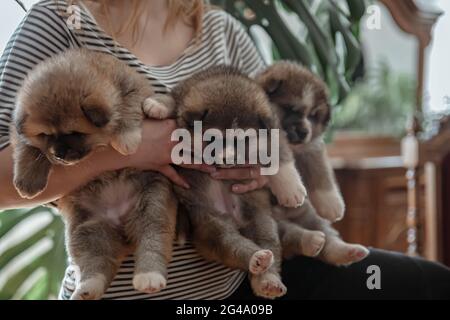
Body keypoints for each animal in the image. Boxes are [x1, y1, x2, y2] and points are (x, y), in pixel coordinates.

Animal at [11, 48, 177, 298]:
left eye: (75, 132)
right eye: (45, 135)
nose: (58, 155)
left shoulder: (131, 87)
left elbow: (127, 108)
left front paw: (126, 138)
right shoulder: (24, 138)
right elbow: (27, 149)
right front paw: (27, 180)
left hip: (152, 206)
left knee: (152, 240)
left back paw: (149, 276)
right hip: (85, 230)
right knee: (96, 262)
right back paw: (87, 288)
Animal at [151, 66, 310, 298]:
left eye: (244, 140)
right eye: (212, 138)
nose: (228, 159)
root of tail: (235, 218)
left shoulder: (273, 132)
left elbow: (280, 155)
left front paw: (291, 189)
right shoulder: (183, 95)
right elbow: (171, 99)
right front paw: (157, 104)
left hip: (262, 222)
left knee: (268, 245)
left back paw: (268, 280)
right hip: (212, 223)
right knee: (230, 245)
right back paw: (255, 258)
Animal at [258, 62, 368, 264]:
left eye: (313, 115)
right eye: (290, 108)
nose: (303, 132)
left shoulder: (311, 149)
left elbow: (321, 173)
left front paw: (333, 205)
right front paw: (291, 190)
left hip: (310, 215)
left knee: (328, 239)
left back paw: (347, 250)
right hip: (273, 223)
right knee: (292, 235)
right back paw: (310, 240)